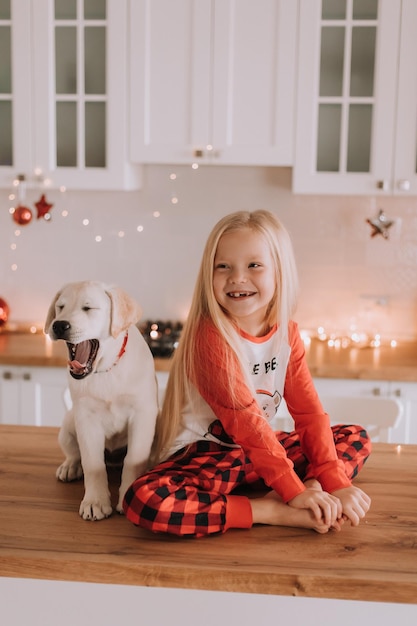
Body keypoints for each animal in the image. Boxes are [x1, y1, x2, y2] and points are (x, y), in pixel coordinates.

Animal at [44, 280, 158, 520]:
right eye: (60, 307)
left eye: (88, 308)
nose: (59, 325)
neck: (105, 370)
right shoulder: (86, 418)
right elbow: (92, 464)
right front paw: (95, 502)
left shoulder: (143, 414)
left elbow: (134, 459)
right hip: (69, 423)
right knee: (74, 453)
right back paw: (70, 467)